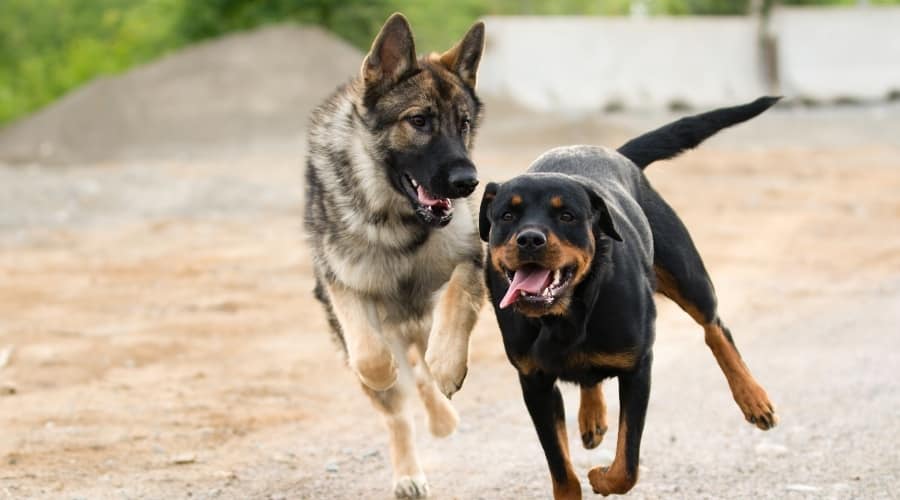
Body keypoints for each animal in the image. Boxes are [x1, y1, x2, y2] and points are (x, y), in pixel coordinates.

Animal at [302, 13, 486, 498]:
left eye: (463, 124)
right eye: (419, 121)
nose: (468, 183)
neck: (398, 221)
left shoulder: (469, 260)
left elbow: (454, 302)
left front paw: (447, 367)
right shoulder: (342, 284)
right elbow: (370, 357)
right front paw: (382, 372)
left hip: (419, 324)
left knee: (422, 370)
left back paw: (442, 415)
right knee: (399, 403)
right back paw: (408, 473)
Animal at [478, 96, 780, 496]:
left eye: (567, 215)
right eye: (506, 215)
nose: (529, 238)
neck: (565, 315)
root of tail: (619, 155)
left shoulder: (638, 367)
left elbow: (627, 465)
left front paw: (600, 478)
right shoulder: (534, 382)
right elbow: (561, 469)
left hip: (686, 273)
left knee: (714, 328)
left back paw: (753, 398)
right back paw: (591, 416)